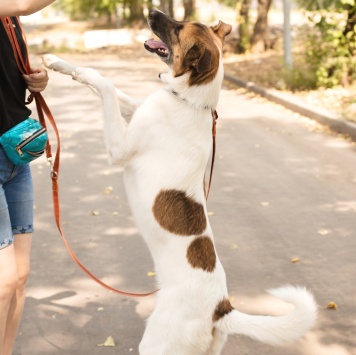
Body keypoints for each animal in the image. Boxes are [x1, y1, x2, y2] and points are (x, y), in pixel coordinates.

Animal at [42, 9, 318, 355]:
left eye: (178, 29)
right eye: (184, 21)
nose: (151, 11)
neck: (190, 100)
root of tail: (221, 309)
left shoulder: (119, 147)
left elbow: (106, 85)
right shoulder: (135, 107)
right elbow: (111, 87)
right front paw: (59, 63)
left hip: (159, 344)